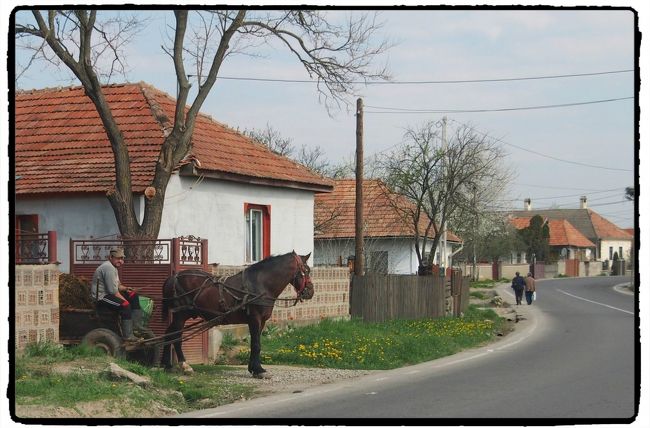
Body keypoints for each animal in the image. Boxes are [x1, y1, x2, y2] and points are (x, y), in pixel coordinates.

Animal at [161, 251, 314, 378]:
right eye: (305, 271)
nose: (310, 292)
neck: (260, 284)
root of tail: (173, 277)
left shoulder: (262, 321)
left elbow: (255, 343)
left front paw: (254, 368)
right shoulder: (255, 319)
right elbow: (256, 344)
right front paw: (258, 370)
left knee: (168, 333)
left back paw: (167, 365)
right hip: (181, 315)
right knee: (176, 337)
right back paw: (184, 365)